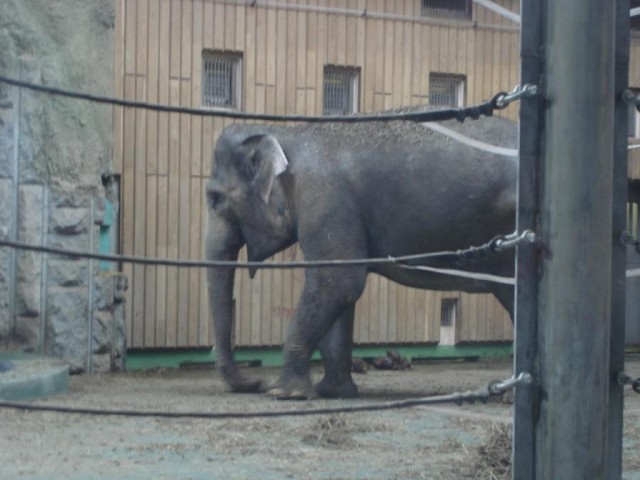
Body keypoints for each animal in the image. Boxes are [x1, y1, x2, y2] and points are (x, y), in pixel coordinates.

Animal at [208, 117, 516, 402]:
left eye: (215, 198)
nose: (255, 382)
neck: (289, 132)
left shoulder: (325, 200)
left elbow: (338, 283)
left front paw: (285, 393)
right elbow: (340, 289)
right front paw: (334, 392)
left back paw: (508, 396)